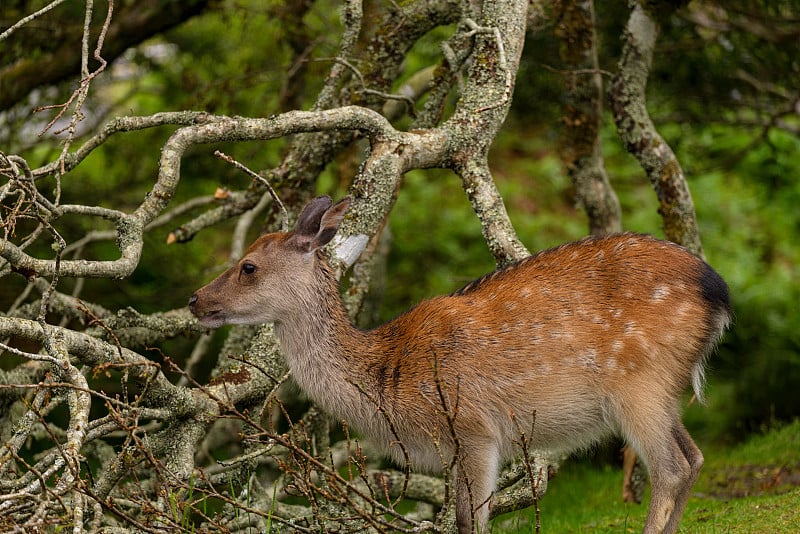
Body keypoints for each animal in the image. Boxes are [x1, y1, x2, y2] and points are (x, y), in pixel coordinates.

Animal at [189, 197, 732, 534]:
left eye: (249, 266)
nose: (195, 299)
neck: (388, 380)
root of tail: (719, 294)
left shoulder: (473, 429)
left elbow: (473, 521)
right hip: (664, 388)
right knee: (695, 457)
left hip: (638, 381)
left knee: (671, 467)